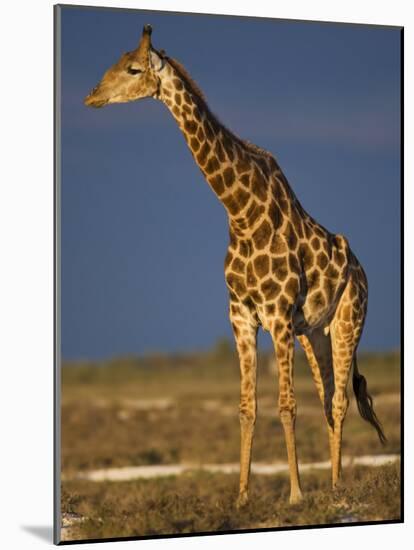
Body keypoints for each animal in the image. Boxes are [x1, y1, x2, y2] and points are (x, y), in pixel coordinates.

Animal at [83, 25, 384, 508]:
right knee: (327, 396)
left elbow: (286, 405)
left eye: (132, 68)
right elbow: (247, 407)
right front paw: (242, 497)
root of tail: (360, 270)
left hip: (348, 321)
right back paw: (336, 483)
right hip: (313, 332)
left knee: (338, 400)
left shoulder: (277, 315)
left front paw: (295, 494)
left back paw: (337, 489)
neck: (239, 211)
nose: (92, 96)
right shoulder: (241, 314)